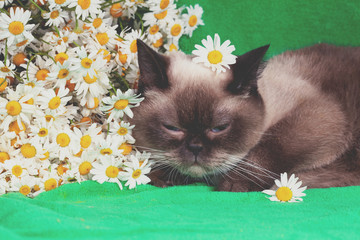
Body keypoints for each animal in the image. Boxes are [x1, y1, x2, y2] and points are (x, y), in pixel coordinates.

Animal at [131, 39, 360, 193]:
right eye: (173, 128)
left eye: (219, 128)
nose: (195, 148)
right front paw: (161, 176)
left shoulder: (321, 115)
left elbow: (267, 149)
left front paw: (233, 183)